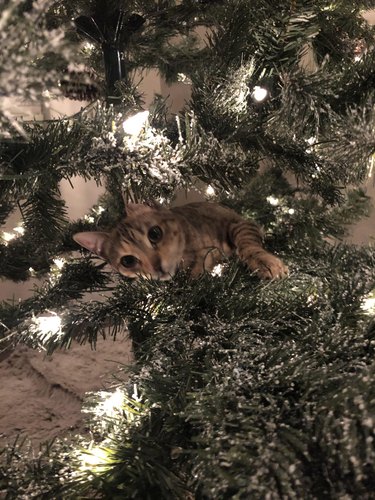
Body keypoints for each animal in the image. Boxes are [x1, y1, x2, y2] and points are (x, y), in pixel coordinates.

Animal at [73, 203, 290, 282]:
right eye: (128, 261)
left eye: (154, 234)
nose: (158, 268)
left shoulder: (241, 224)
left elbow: (248, 245)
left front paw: (266, 263)